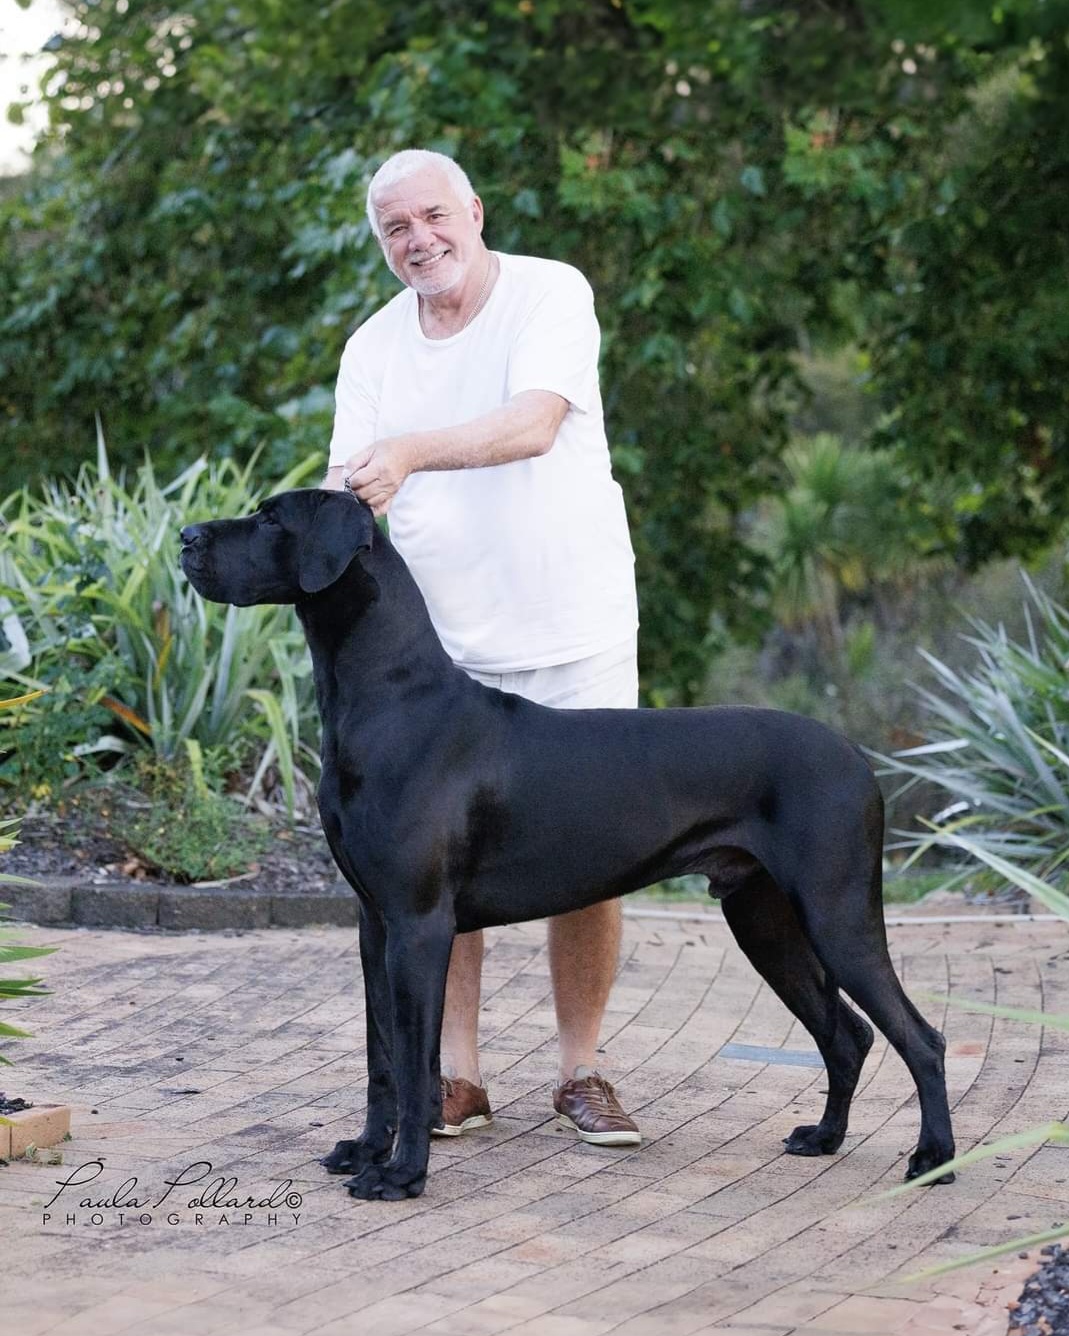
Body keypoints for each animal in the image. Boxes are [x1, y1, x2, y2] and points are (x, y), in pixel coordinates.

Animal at [180, 487, 955, 1200]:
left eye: (272, 519)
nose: (186, 536)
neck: (386, 699)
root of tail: (858, 758)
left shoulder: (419, 924)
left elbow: (413, 1058)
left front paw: (401, 1174)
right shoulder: (375, 923)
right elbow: (380, 1058)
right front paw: (367, 1150)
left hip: (835, 912)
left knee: (920, 1037)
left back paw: (933, 1159)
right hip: (764, 919)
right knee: (846, 1035)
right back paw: (823, 1138)